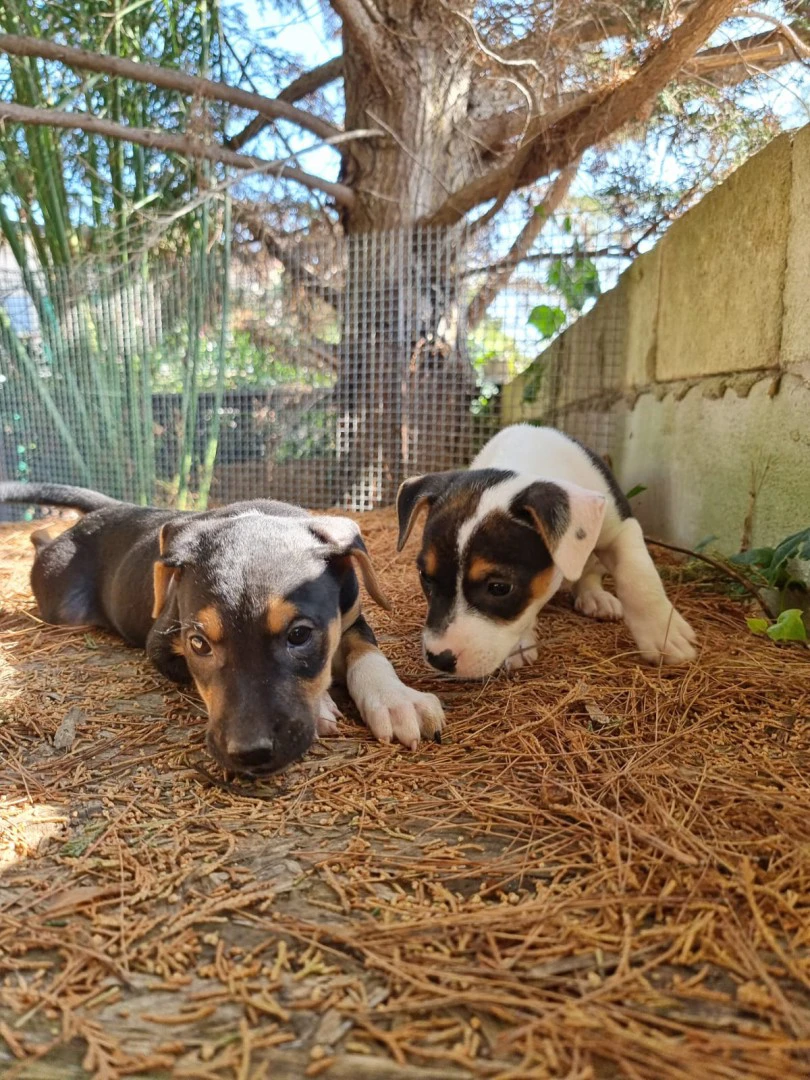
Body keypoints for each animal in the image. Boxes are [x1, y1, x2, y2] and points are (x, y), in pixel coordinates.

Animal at [0, 483, 444, 777]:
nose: (250, 754)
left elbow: (367, 649)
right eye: (198, 643)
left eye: (299, 635)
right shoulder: (163, 643)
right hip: (62, 600)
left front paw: (395, 700)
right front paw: (321, 706)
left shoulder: (350, 611)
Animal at [397, 425, 699, 678]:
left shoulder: (621, 528)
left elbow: (639, 579)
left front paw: (664, 634)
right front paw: (520, 642)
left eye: (499, 588)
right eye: (425, 577)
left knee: (590, 573)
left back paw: (595, 596)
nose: (439, 659)